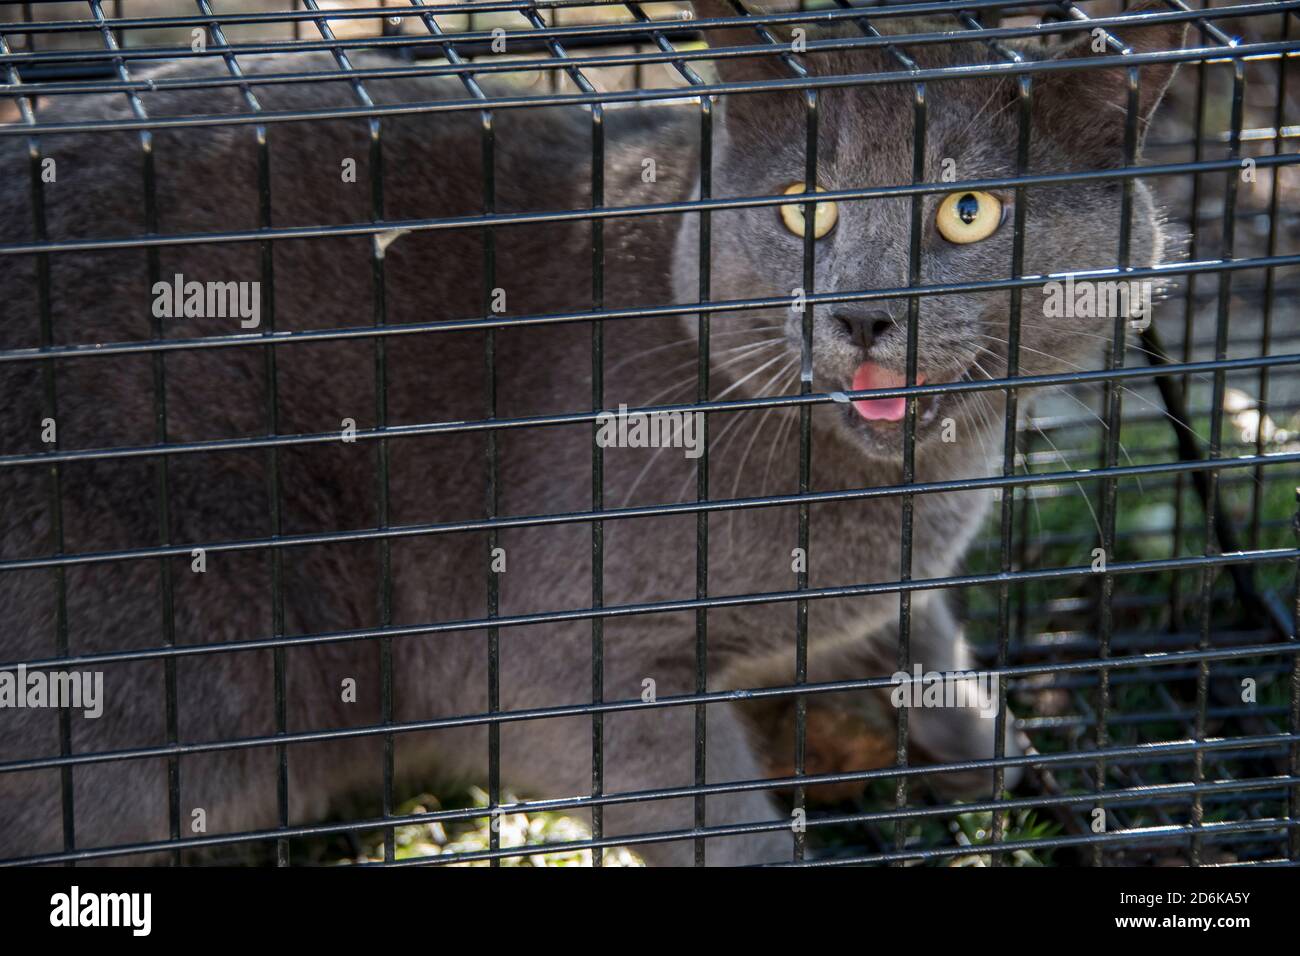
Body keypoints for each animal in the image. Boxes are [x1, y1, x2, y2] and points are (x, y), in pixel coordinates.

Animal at [0, 1, 1190, 868]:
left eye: (968, 212)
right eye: (804, 206)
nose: (861, 314)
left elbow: (936, 652)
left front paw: (1015, 762)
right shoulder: (577, 664)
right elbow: (725, 829)